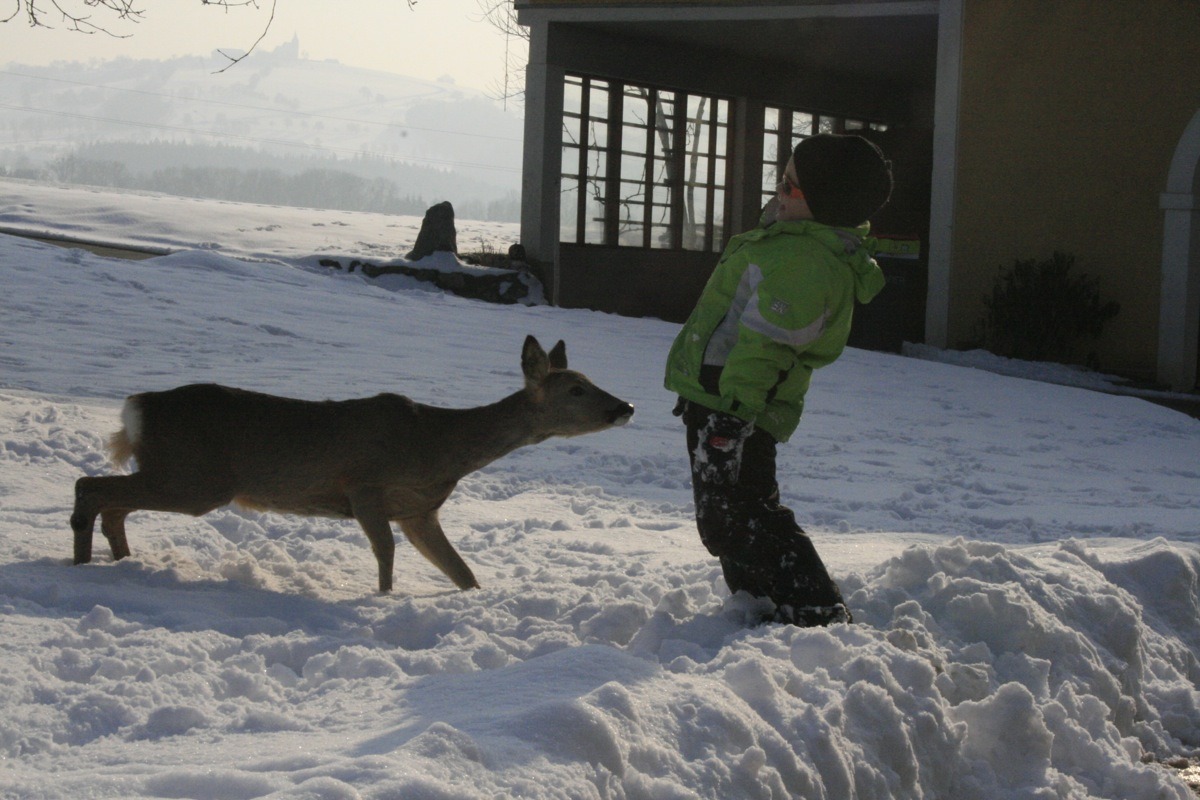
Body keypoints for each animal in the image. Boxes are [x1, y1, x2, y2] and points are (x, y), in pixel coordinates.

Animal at [70, 336, 634, 594]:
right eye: (575, 388)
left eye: (590, 380)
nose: (624, 406)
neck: (438, 445)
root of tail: (136, 408)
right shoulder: (364, 486)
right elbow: (384, 555)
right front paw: (383, 599)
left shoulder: (419, 510)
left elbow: (463, 572)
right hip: (195, 477)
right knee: (89, 486)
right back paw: (80, 567)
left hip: (177, 474)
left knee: (110, 501)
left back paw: (119, 564)